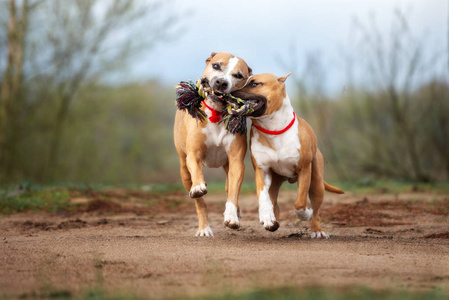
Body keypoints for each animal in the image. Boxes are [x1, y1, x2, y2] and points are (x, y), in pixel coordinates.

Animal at [173, 53, 252, 237]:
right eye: (216, 66)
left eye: (238, 75)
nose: (221, 82)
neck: (216, 112)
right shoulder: (194, 154)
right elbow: (197, 174)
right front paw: (198, 186)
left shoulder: (236, 160)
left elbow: (233, 191)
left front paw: (232, 217)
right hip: (183, 169)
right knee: (199, 201)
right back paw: (204, 228)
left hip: (227, 165)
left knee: (229, 186)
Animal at [231, 72, 344, 239]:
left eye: (254, 84)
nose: (230, 91)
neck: (272, 128)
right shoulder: (262, 171)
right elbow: (262, 196)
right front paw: (266, 216)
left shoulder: (304, 170)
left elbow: (300, 202)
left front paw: (305, 214)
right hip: (275, 181)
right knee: (274, 203)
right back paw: (272, 221)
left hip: (316, 182)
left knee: (316, 211)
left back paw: (317, 230)